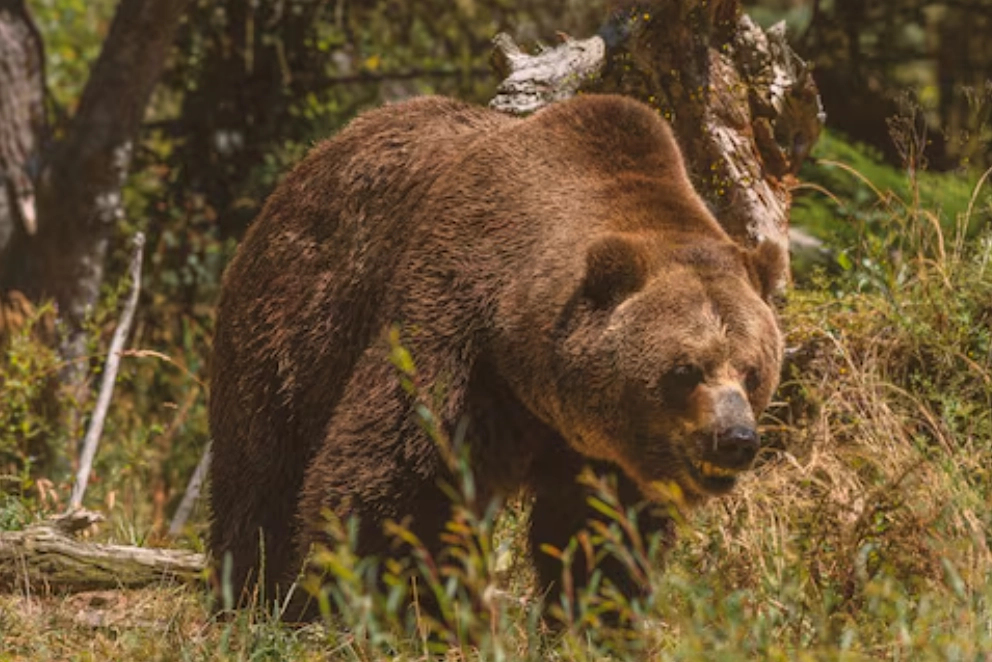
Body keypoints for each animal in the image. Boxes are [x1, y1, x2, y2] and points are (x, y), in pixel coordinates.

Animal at [208, 94, 785, 620]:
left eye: (753, 371)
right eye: (685, 369)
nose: (735, 438)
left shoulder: (602, 453)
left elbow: (601, 534)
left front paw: (600, 616)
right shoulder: (457, 343)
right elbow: (402, 485)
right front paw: (394, 607)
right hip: (294, 328)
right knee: (261, 474)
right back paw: (250, 598)